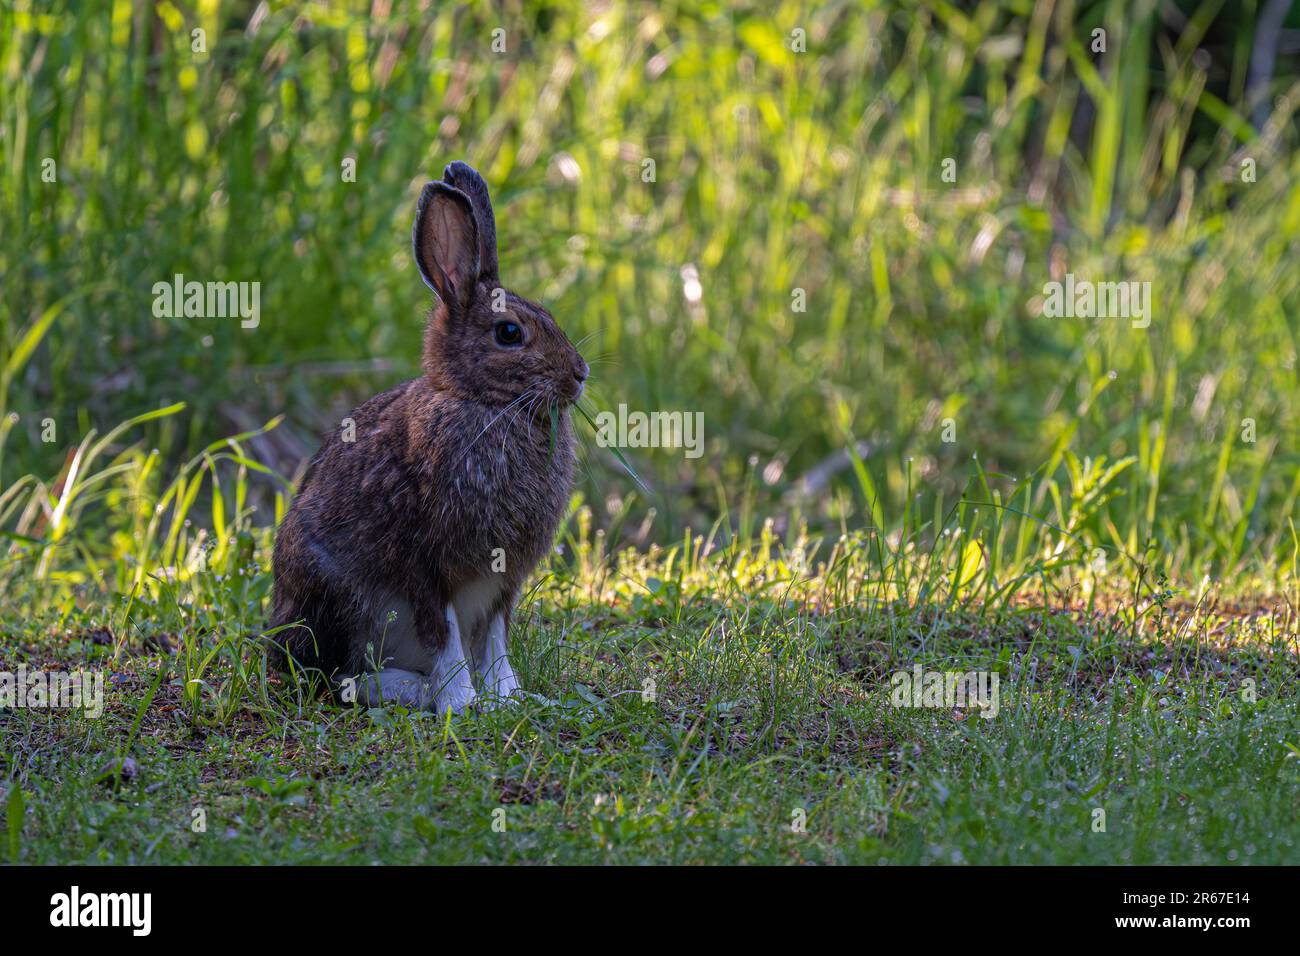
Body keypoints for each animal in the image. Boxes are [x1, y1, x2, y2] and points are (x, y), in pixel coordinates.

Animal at [269, 160, 590, 712]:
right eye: (509, 333)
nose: (580, 373)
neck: (482, 402)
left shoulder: (503, 580)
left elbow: (495, 637)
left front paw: (509, 698)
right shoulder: (423, 566)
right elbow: (444, 634)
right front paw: (462, 703)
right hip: (332, 597)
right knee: (336, 677)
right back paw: (412, 690)